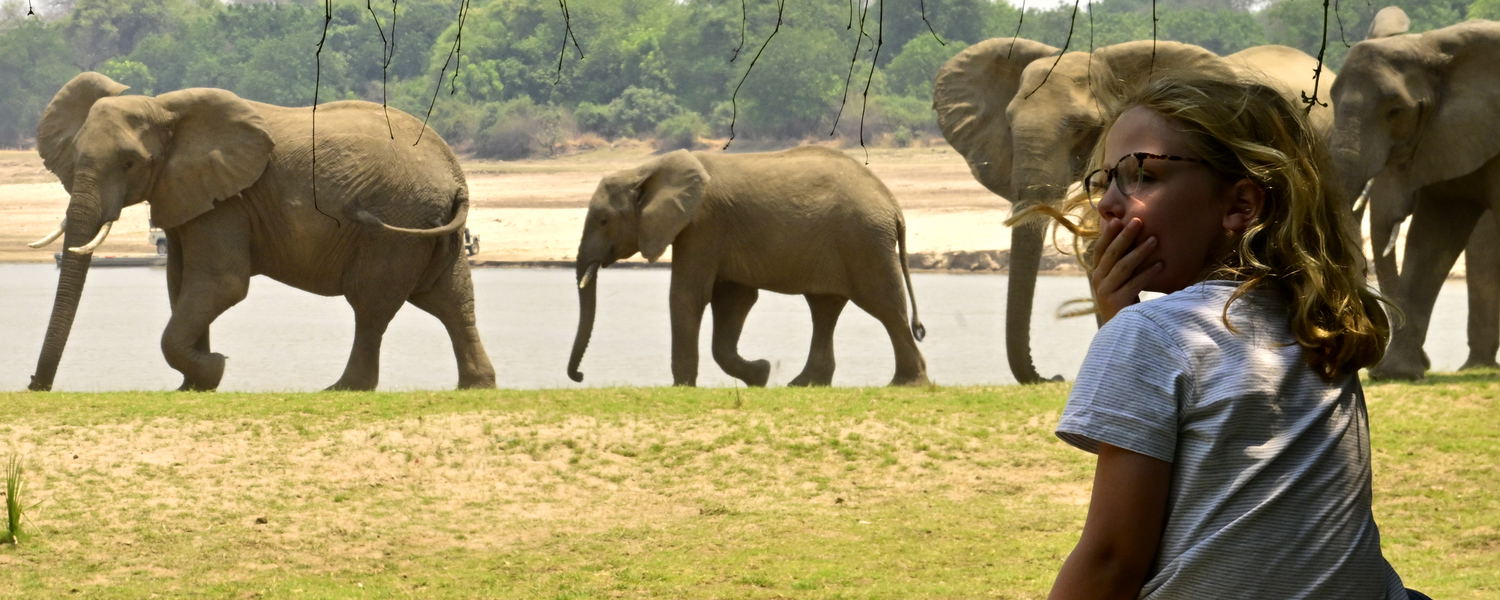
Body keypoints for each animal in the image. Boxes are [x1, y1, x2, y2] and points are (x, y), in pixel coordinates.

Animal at [25, 72, 496, 391]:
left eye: (129, 163)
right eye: (74, 157)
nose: (34, 384)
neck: (166, 109)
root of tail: (455, 175)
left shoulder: (229, 201)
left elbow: (220, 283)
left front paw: (214, 367)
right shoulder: (188, 193)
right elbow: (180, 283)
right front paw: (196, 383)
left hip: (396, 224)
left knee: (372, 305)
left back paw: (340, 389)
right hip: (426, 224)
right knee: (452, 300)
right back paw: (477, 384)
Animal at [565, 146, 929, 387]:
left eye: (603, 220)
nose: (580, 376)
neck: (645, 169)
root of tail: (892, 204)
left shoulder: (703, 224)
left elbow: (688, 295)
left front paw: (683, 388)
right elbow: (734, 301)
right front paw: (761, 374)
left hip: (864, 240)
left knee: (884, 305)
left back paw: (906, 384)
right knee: (824, 307)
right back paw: (802, 384)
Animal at [1328, 10, 1500, 379]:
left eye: (1396, 112)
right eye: (1331, 101)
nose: (1426, 361)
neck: (1431, 44)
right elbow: (1432, 238)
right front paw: (1398, 373)